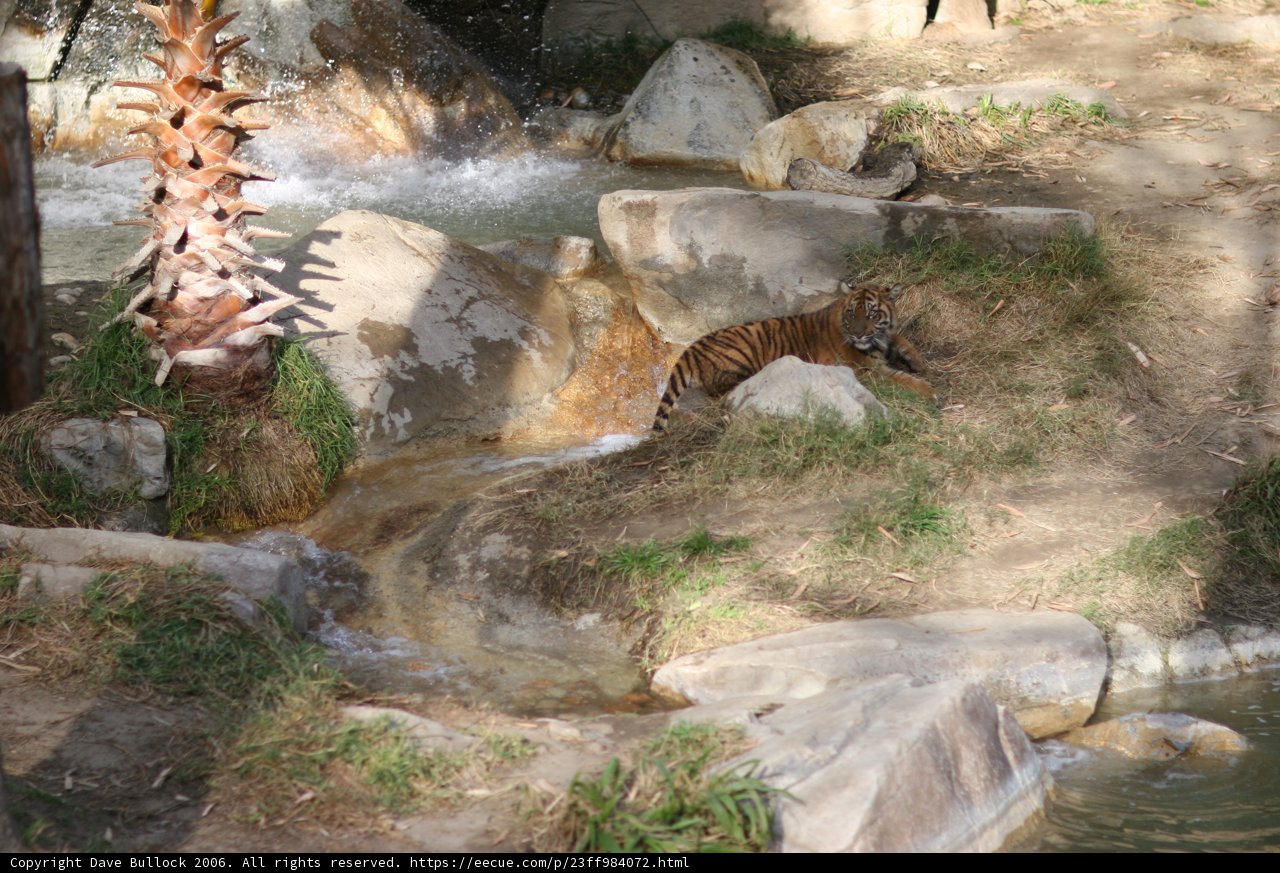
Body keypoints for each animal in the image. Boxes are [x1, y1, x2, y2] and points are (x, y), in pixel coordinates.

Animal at [651, 281, 935, 433]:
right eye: (852, 313)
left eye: (872, 314)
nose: (857, 334)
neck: (878, 338)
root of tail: (691, 349)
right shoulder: (866, 369)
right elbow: (899, 378)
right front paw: (929, 391)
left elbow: (902, 340)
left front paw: (918, 360)